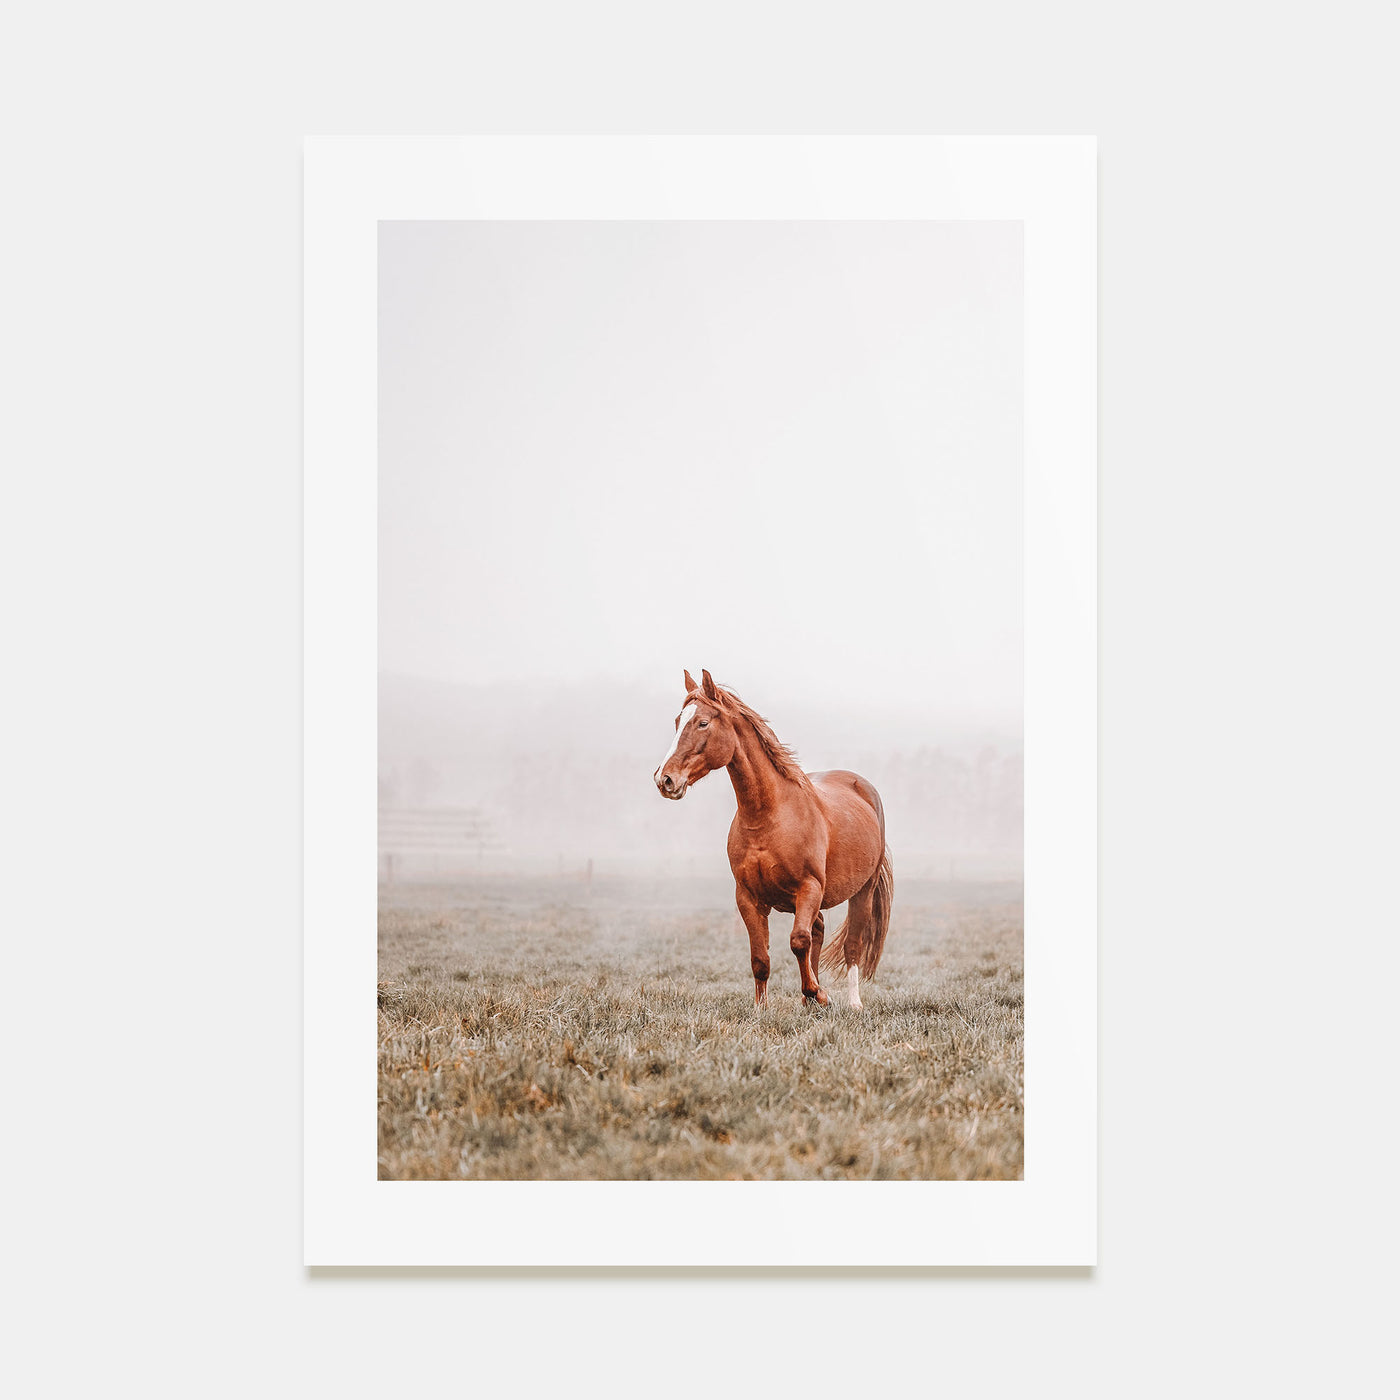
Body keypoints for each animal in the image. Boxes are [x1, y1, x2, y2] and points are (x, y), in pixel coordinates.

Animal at [653, 670, 893, 1010]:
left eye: (702, 723)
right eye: (677, 720)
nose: (665, 779)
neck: (768, 817)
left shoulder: (809, 887)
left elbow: (798, 941)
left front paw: (819, 993)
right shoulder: (748, 898)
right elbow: (760, 958)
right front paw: (762, 1007)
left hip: (863, 890)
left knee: (852, 944)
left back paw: (852, 1003)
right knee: (818, 930)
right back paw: (809, 1002)